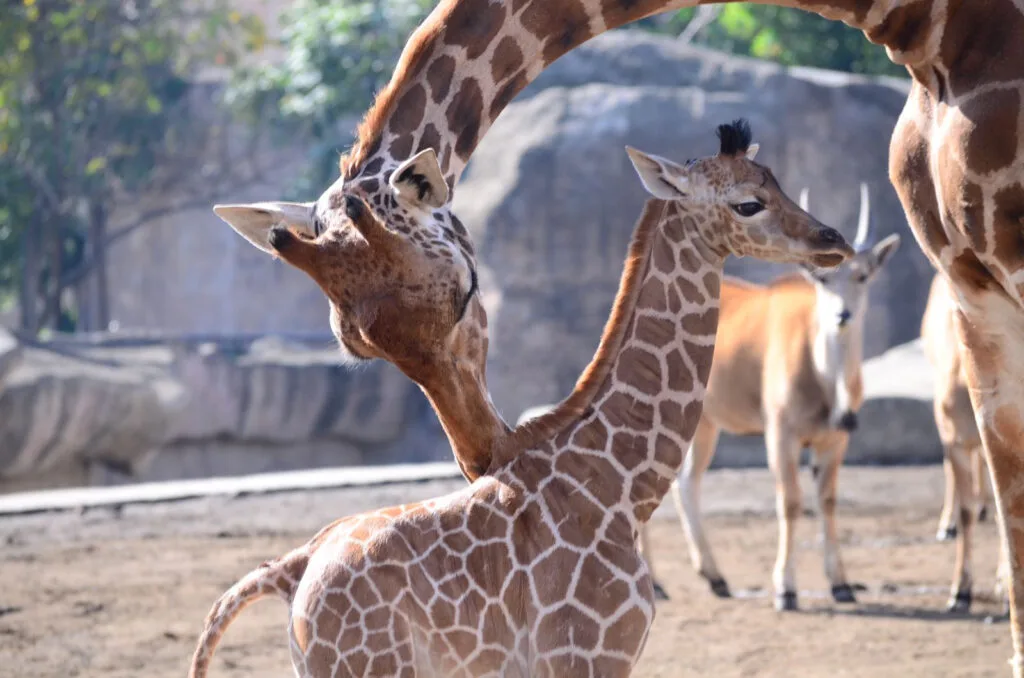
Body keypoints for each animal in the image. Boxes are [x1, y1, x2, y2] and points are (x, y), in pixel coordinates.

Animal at [191, 120, 853, 678]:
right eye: (748, 203)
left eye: (777, 183)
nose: (834, 240)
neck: (621, 487)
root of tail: (295, 570)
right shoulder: (584, 656)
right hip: (373, 669)